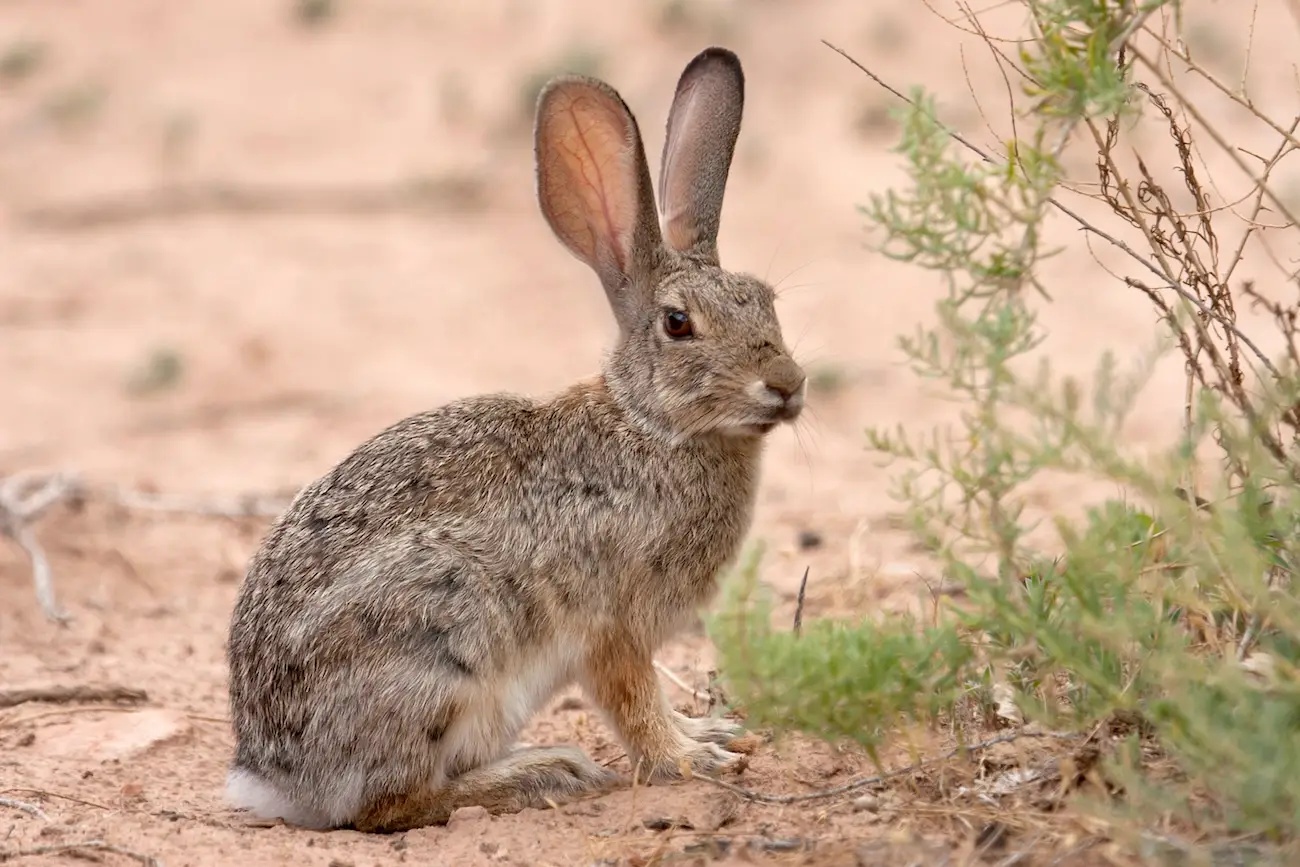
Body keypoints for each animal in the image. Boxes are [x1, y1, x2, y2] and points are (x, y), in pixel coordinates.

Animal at [224, 45, 806, 833]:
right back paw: (545, 771)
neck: (649, 424)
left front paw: (710, 732)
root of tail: (274, 776)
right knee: (393, 802)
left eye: (766, 301)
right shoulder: (613, 625)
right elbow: (634, 703)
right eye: (679, 323)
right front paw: (690, 759)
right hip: (446, 650)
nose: (788, 383)